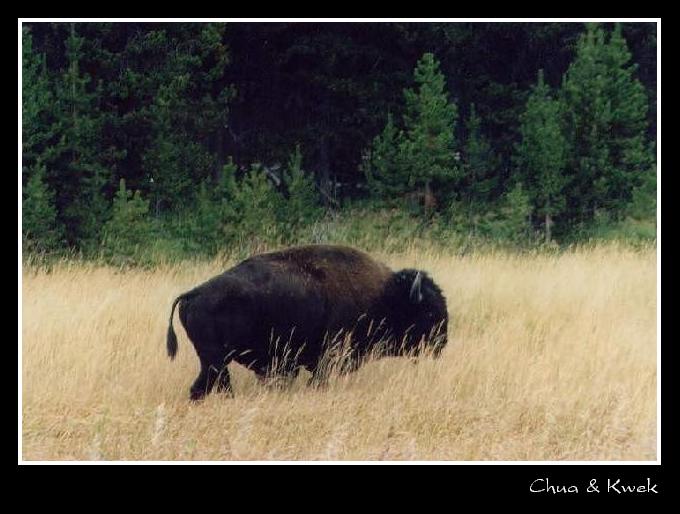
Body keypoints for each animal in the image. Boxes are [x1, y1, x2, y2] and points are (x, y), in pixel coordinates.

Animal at [167, 245, 448, 400]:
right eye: (429, 312)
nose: (442, 343)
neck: (386, 295)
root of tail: (193, 293)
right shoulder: (327, 360)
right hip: (215, 361)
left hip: (213, 362)